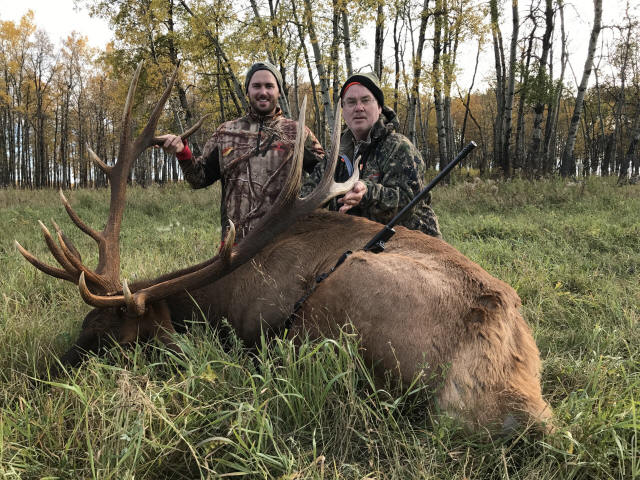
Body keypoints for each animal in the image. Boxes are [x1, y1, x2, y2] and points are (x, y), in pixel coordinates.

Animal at [16, 63, 553, 434]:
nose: (39, 377)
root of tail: (519, 400)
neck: (220, 299)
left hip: (346, 294)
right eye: (85, 325)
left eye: (112, 340)